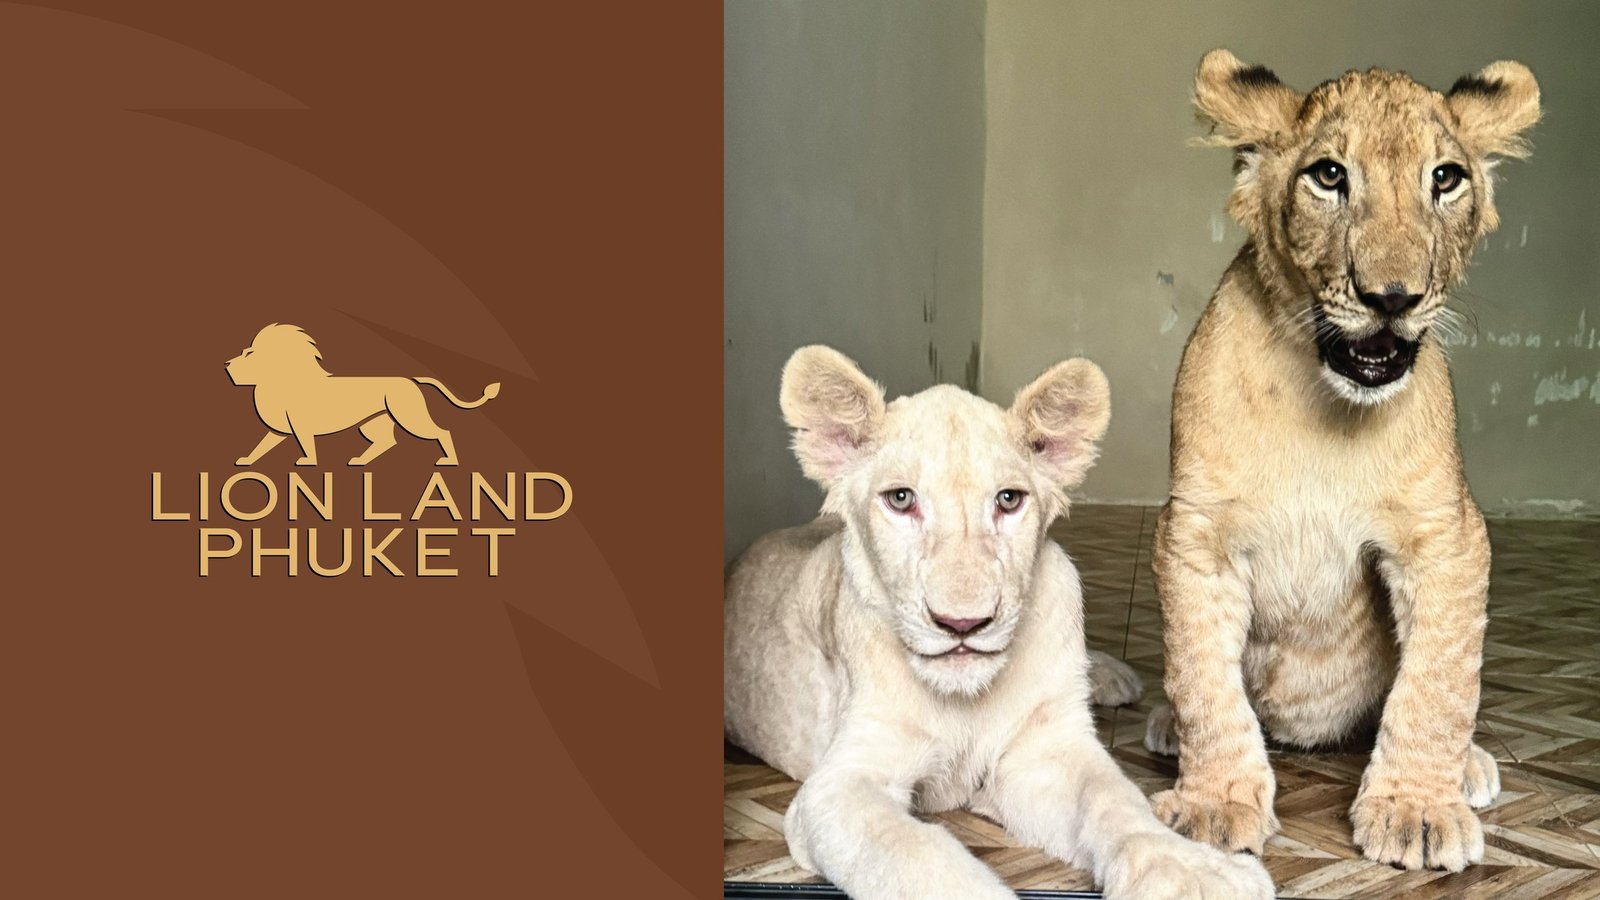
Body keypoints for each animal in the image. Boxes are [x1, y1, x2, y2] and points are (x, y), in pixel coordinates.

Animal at [225, 324, 500, 467]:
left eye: (249, 354)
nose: (226, 364)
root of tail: (410, 379)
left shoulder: (301, 426)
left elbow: (306, 445)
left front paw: (307, 462)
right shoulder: (278, 430)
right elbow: (260, 447)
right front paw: (246, 461)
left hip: (409, 417)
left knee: (442, 432)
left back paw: (448, 461)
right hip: (372, 424)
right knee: (387, 442)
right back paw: (359, 461)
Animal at [723, 346, 1272, 900]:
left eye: (1008, 500)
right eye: (900, 499)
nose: (962, 623)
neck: (968, 702)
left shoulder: (1045, 756)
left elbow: (1116, 800)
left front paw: (1194, 871)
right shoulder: (838, 786)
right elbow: (920, 855)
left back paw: (1110, 677)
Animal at [1143, 50, 1539, 871]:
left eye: (1445, 179)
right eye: (1329, 176)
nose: (1392, 297)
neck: (1325, 415)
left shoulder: (1445, 537)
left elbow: (1439, 680)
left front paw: (1419, 808)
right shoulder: (1196, 533)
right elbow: (1203, 679)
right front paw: (1213, 803)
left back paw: (1469, 765)